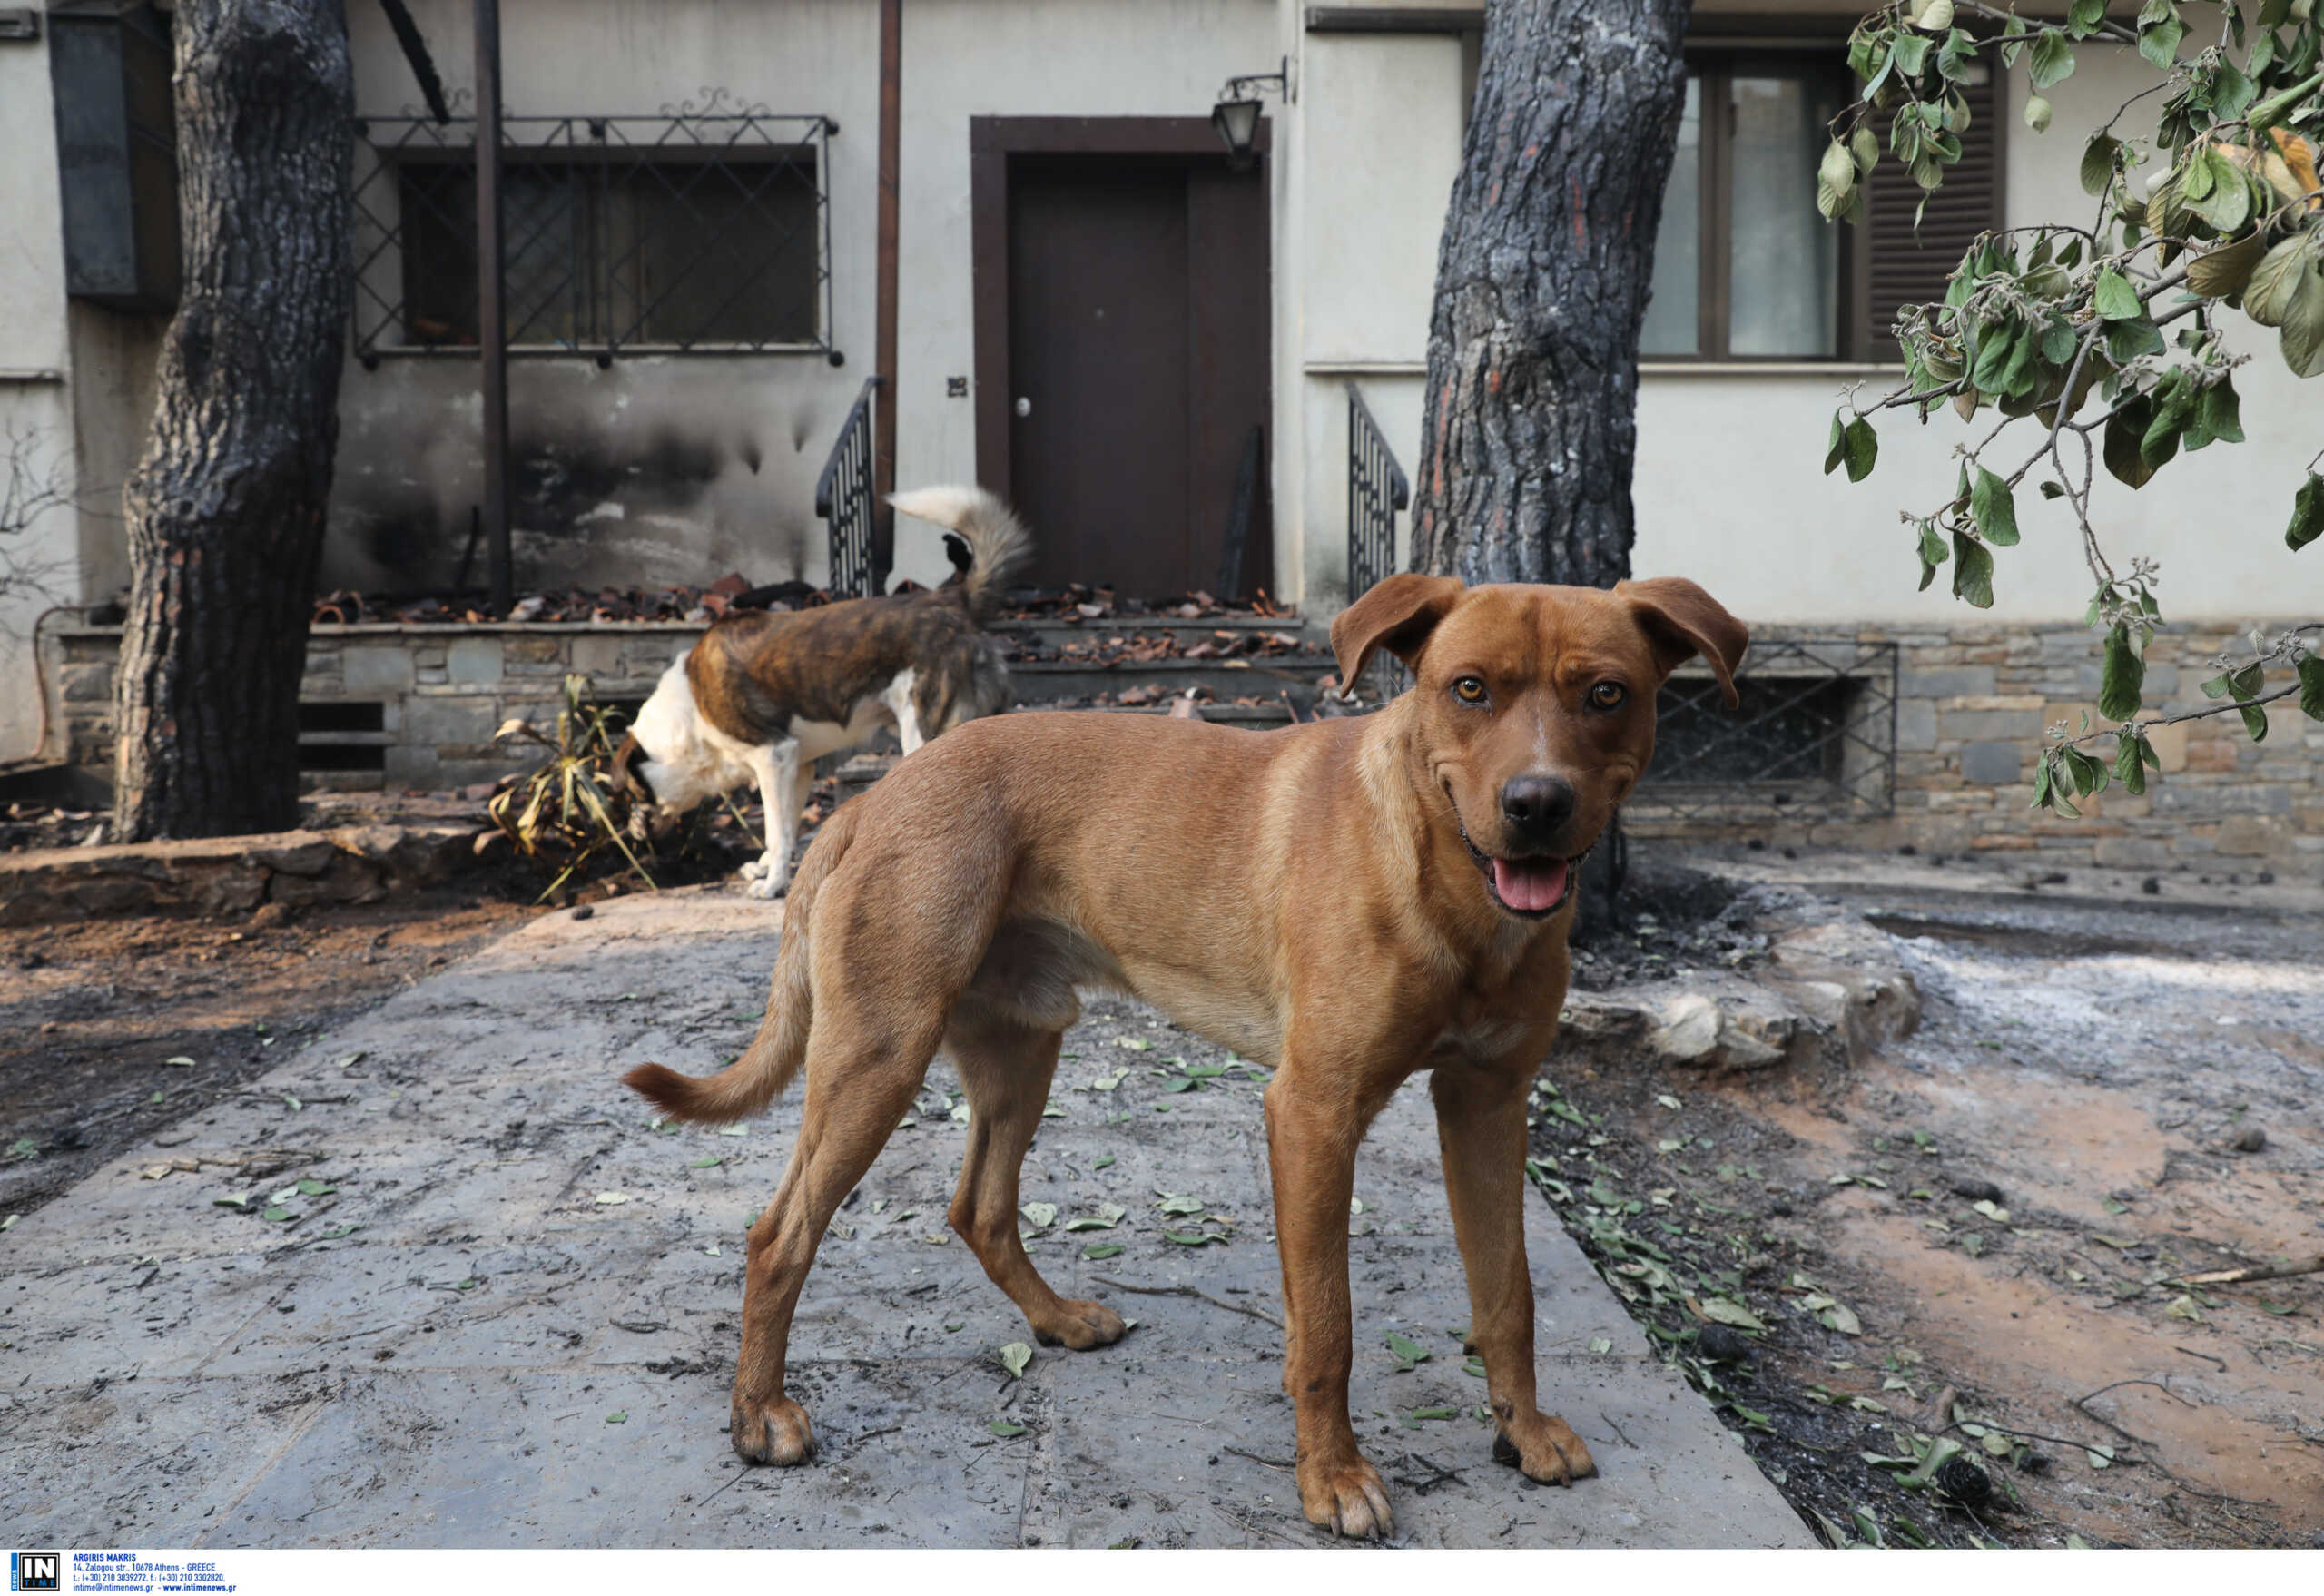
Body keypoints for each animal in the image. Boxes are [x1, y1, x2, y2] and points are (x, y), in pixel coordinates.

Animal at [613, 488, 1031, 901]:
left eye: (631, 794)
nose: (632, 837)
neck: (689, 712)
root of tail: (952, 601)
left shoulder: (774, 756)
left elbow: (776, 832)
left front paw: (772, 885)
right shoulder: (797, 768)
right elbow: (783, 828)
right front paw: (766, 869)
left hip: (927, 734)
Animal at [617, 571, 1748, 1532]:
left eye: (1605, 694)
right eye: (1469, 689)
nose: (1536, 807)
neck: (1448, 883)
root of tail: (863, 801)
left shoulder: (1488, 1102)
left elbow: (1507, 1292)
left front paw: (1522, 1430)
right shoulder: (1312, 1114)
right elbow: (1326, 1327)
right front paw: (1332, 1479)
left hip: (1023, 1047)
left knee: (978, 1207)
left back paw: (1056, 1321)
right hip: (878, 1057)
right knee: (780, 1234)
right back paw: (760, 1418)